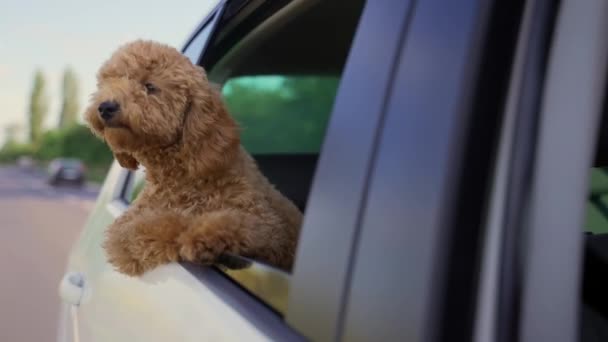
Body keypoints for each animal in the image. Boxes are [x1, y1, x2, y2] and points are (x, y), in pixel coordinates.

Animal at [84, 39, 302, 276]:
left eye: (150, 87)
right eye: (106, 83)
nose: (105, 106)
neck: (177, 174)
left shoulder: (270, 227)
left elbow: (237, 222)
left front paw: (205, 235)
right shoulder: (123, 233)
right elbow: (163, 223)